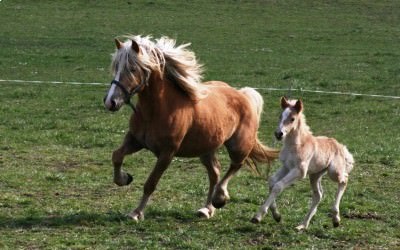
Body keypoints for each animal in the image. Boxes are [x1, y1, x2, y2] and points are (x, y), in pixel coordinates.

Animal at [103, 35, 278, 221]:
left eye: (133, 69)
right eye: (116, 67)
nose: (110, 101)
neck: (157, 110)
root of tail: (242, 94)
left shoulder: (167, 152)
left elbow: (151, 183)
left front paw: (136, 213)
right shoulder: (135, 140)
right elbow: (117, 156)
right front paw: (124, 178)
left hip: (238, 146)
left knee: (235, 166)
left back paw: (219, 198)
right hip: (206, 149)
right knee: (215, 172)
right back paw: (207, 209)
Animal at [252, 96, 354, 229]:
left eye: (292, 118)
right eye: (280, 116)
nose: (279, 134)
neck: (296, 145)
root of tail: (340, 146)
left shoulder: (299, 171)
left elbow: (278, 186)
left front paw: (258, 216)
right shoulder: (286, 167)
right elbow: (272, 181)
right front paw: (276, 215)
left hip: (333, 172)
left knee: (344, 180)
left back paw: (336, 218)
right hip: (315, 175)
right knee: (318, 195)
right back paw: (303, 225)